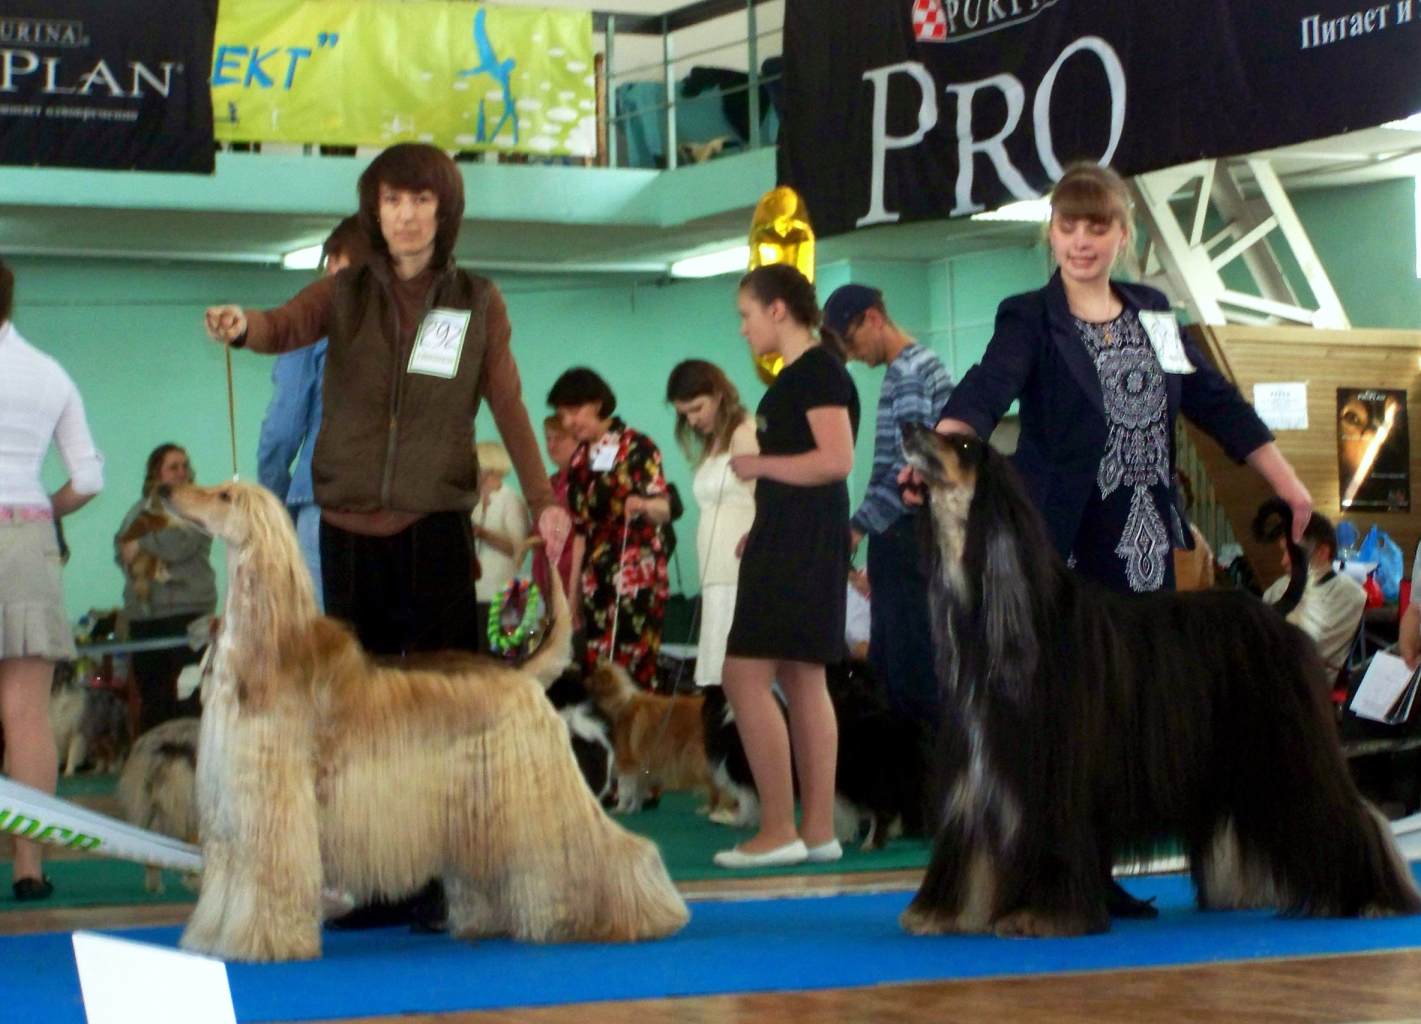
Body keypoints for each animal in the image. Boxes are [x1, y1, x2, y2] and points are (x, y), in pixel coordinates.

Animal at [160, 480, 688, 962]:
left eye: (225, 497)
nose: (167, 491)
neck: (264, 648)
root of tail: (520, 672)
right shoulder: (230, 811)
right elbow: (226, 882)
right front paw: (211, 938)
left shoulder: (274, 808)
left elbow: (269, 879)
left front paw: (260, 942)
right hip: (486, 806)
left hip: (539, 792)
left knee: (607, 850)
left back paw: (643, 914)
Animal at [898, 424, 1420, 937]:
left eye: (963, 444)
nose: (907, 428)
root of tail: (1273, 608)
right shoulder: (980, 774)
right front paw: (947, 913)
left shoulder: (1052, 778)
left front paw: (1040, 915)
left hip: (1288, 747)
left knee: (1347, 812)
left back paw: (1376, 897)